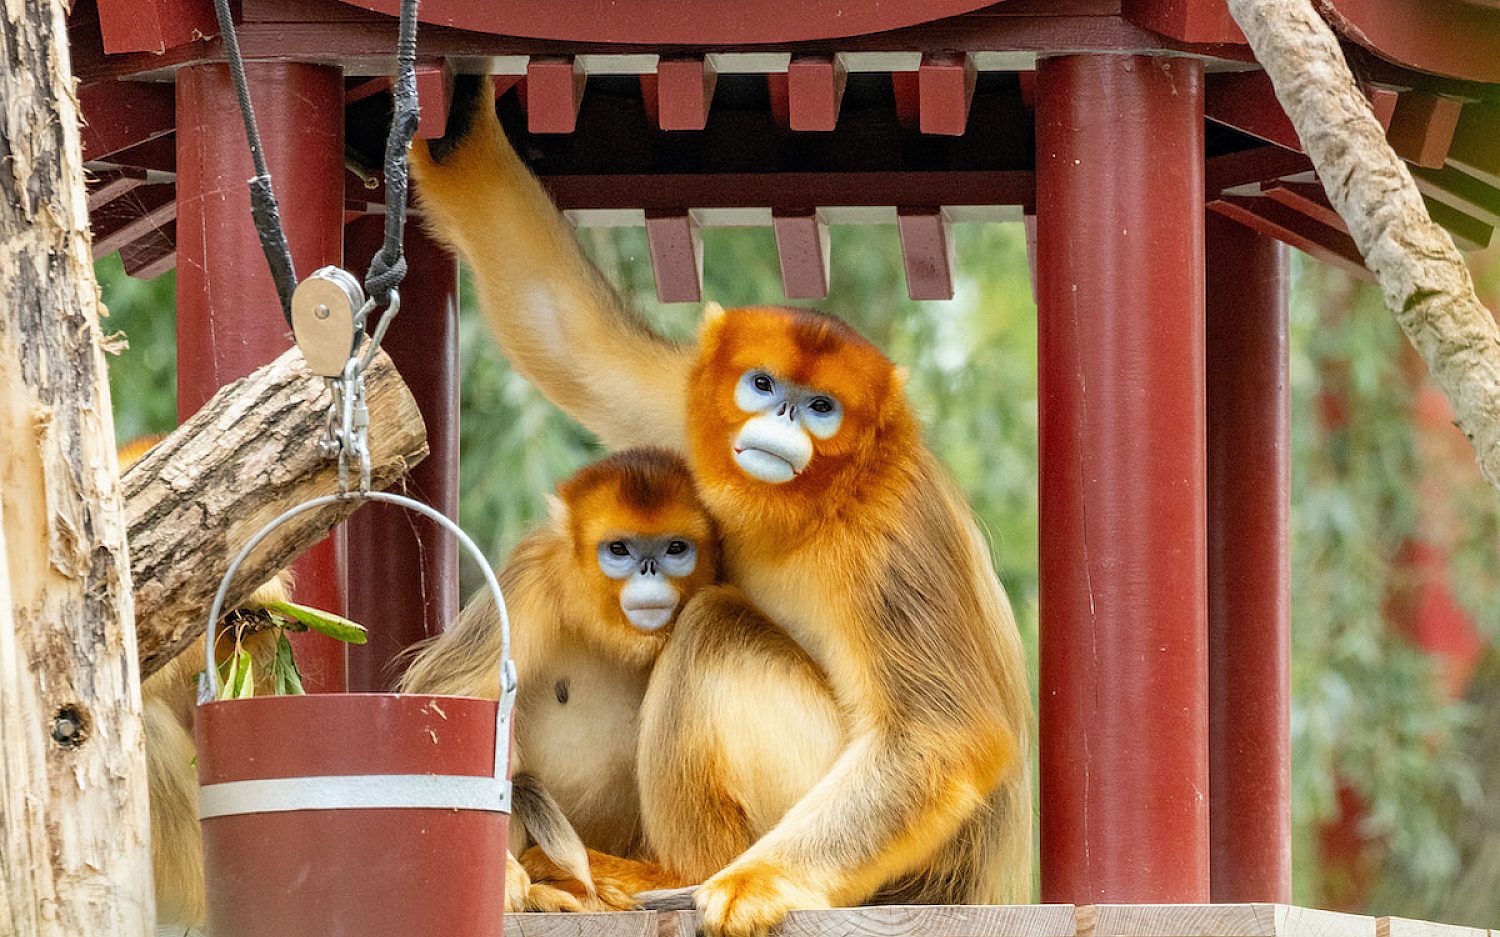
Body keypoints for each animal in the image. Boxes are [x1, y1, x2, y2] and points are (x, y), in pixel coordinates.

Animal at [397, 447, 721, 912]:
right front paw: (502, 874)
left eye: (675, 548)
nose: (649, 570)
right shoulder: (530, 578)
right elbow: (448, 696)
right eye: (619, 549)